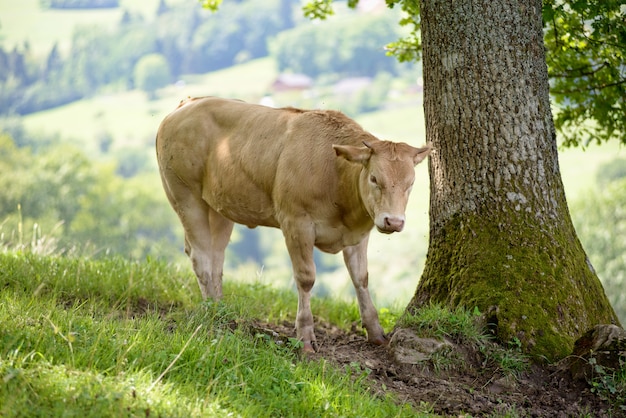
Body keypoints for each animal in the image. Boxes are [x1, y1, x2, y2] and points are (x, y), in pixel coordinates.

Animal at [155, 96, 428, 352]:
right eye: (374, 178)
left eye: (411, 183)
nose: (393, 221)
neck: (336, 175)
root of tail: (188, 103)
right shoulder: (296, 223)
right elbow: (306, 277)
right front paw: (305, 337)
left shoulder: (358, 234)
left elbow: (361, 278)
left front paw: (376, 332)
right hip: (184, 195)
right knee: (200, 256)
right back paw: (211, 310)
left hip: (219, 205)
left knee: (215, 257)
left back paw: (223, 310)